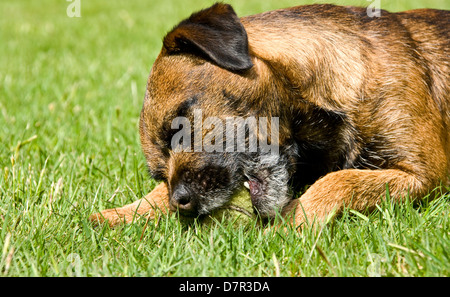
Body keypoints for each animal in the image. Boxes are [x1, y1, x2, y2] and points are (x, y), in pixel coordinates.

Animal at [89, 2, 450, 227]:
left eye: (178, 127)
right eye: (159, 173)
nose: (181, 202)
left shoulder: (424, 175)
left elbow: (340, 180)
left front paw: (294, 221)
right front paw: (122, 213)